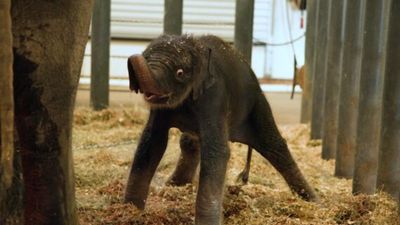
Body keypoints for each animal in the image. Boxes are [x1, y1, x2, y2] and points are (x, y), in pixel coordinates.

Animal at [123, 33, 318, 225]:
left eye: (180, 73)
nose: (133, 57)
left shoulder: (215, 96)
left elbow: (217, 152)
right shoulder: (159, 111)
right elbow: (151, 143)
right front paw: (130, 211)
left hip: (256, 104)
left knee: (274, 146)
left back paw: (314, 202)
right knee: (188, 142)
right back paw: (174, 184)